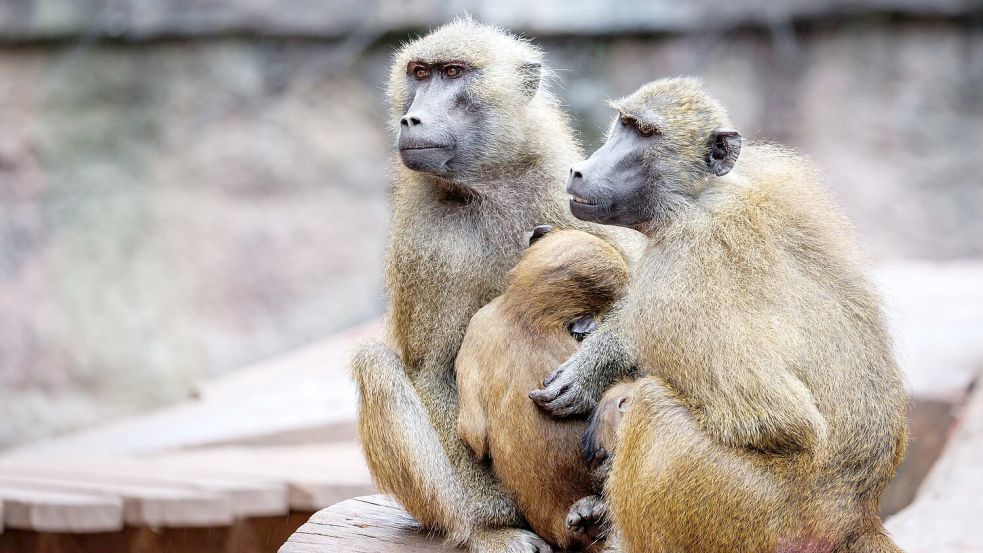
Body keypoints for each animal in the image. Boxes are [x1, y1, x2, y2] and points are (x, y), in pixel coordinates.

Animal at [531, 78, 908, 552]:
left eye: (646, 133)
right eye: (624, 123)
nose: (580, 171)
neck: (697, 199)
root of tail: (856, 516)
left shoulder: (678, 279)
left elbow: (779, 420)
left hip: (752, 512)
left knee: (652, 408)